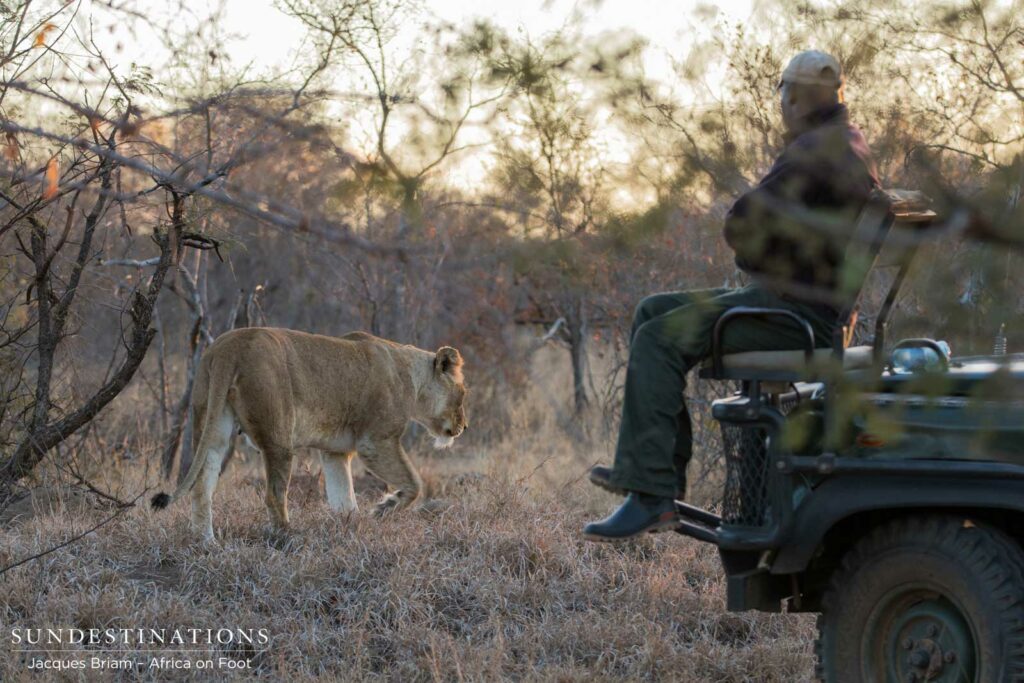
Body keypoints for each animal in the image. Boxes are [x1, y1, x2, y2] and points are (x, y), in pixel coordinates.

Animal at [150, 328, 468, 541]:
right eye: (463, 394)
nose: (464, 427)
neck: (411, 375)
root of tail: (229, 346)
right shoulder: (376, 441)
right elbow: (414, 483)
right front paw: (384, 508)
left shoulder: (335, 452)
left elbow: (344, 498)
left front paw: (351, 529)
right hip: (279, 436)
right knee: (273, 494)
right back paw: (287, 536)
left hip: (211, 425)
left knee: (201, 488)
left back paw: (206, 543)